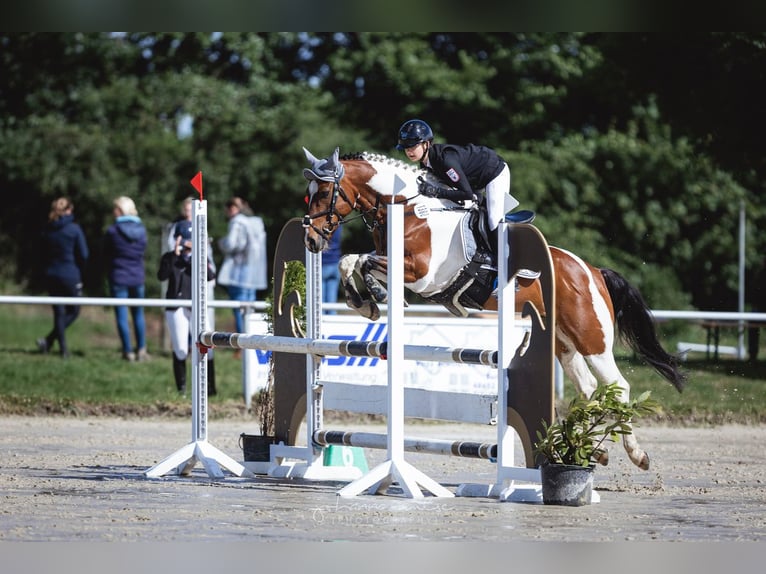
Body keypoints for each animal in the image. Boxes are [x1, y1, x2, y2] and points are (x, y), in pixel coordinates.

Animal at [304, 146, 688, 470]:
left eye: (322, 194)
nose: (311, 240)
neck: (409, 210)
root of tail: (591, 270)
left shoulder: (424, 276)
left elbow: (364, 261)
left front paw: (372, 295)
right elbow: (352, 261)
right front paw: (364, 302)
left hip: (592, 338)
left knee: (618, 386)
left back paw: (636, 455)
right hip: (562, 340)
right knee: (590, 388)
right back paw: (593, 449)